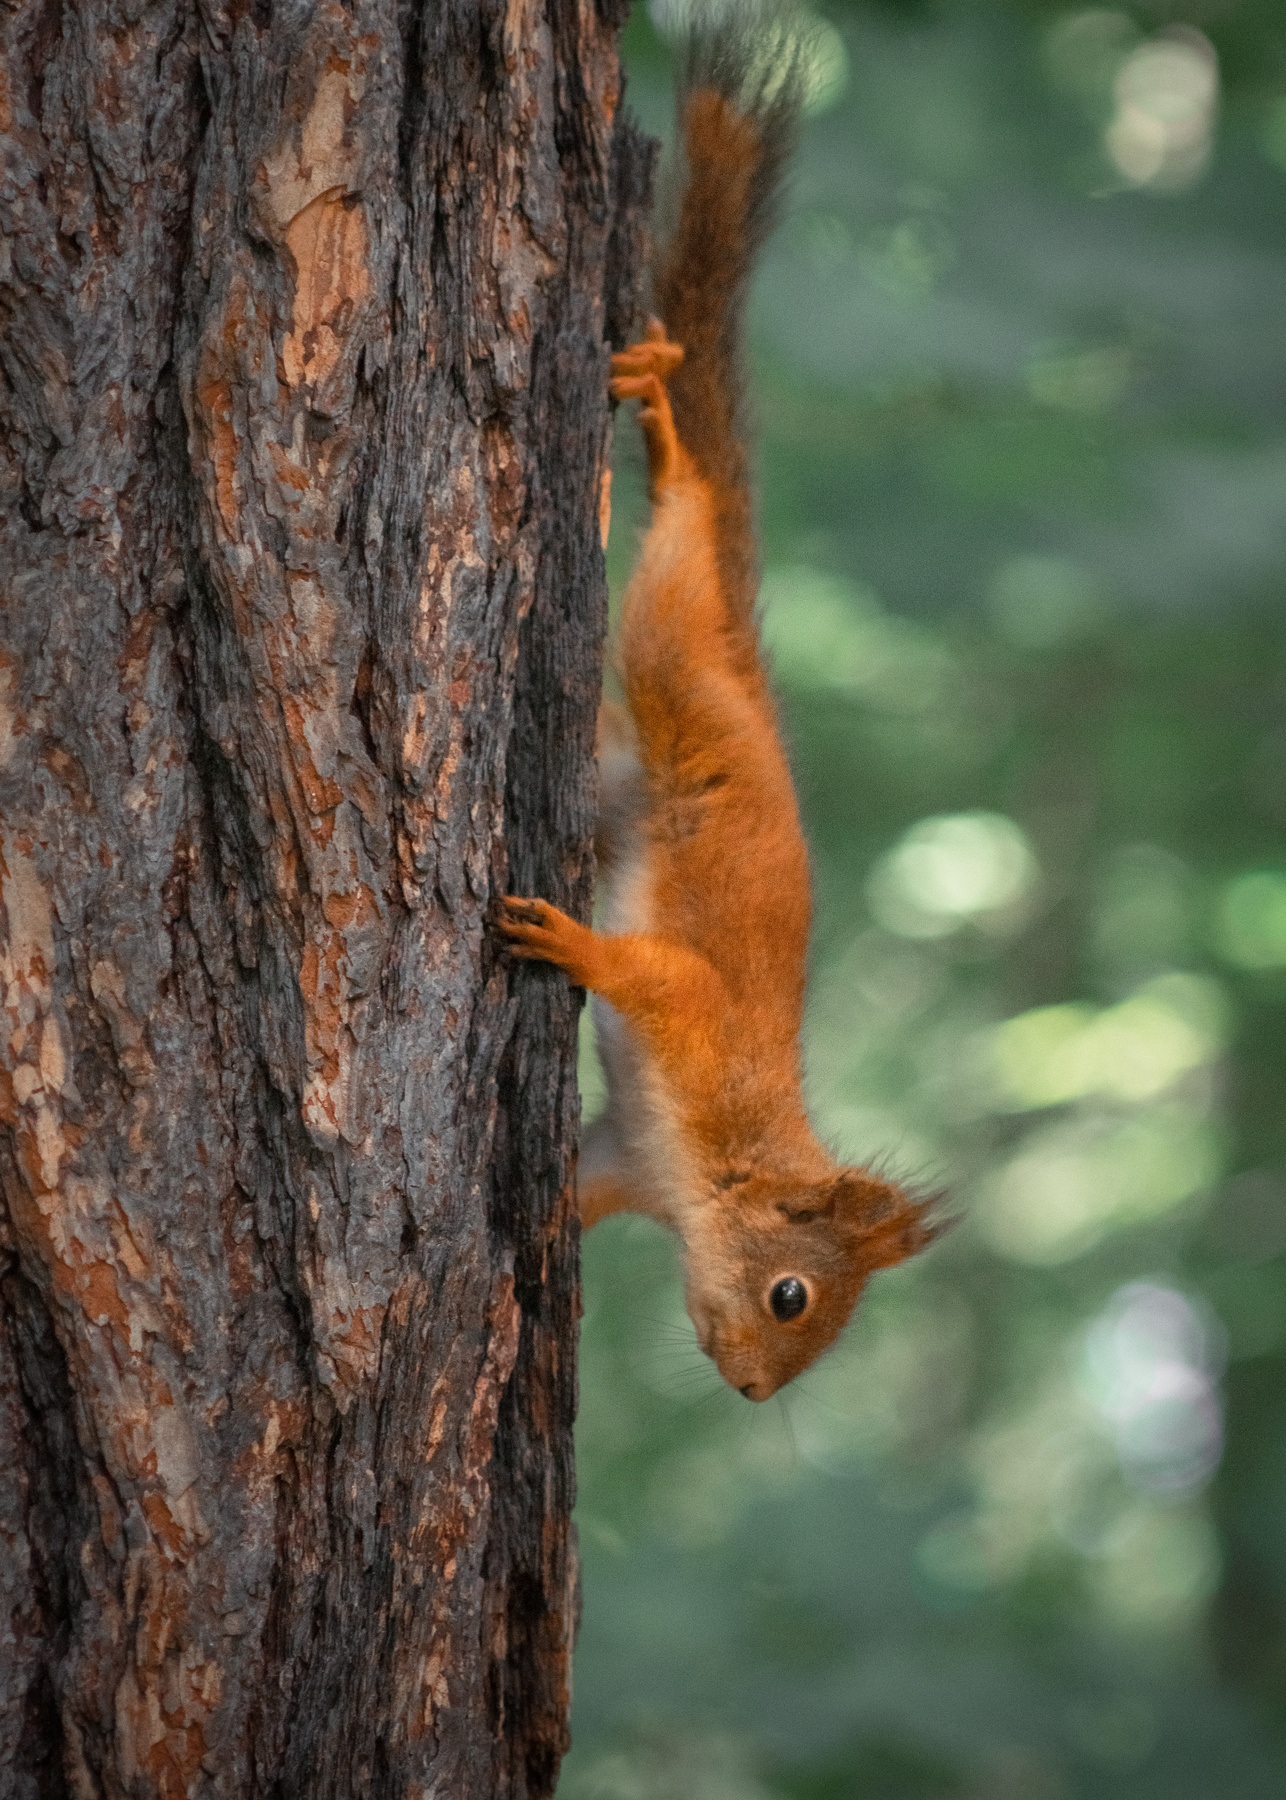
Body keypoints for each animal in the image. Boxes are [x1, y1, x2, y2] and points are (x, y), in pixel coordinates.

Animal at [498, 12, 939, 1400]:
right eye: (792, 1294)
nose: (751, 1392)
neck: (718, 1167)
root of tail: (752, 677)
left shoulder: (617, 1158)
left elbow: (576, 1190)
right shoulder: (695, 1039)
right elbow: (652, 975)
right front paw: (571, 946)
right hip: (677, 663)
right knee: (677, 545)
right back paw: (658, 441)